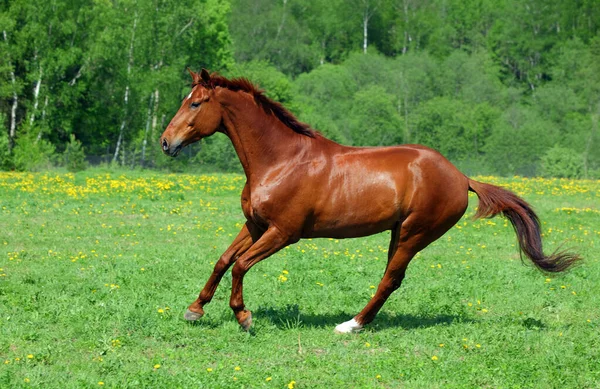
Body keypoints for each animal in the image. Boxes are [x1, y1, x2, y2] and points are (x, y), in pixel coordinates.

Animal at [159, 68, 580, 332]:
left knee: (390, 278)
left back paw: (351, 326)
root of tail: (461, 177)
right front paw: (195, 310)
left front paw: (244, 317)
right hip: (398, 232)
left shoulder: (283, 232)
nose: (165, 142)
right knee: (391, 278)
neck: (281, 160)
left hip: (414, 234)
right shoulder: (256, 224)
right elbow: (223, 260)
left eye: (195, 103)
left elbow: (241, 265)